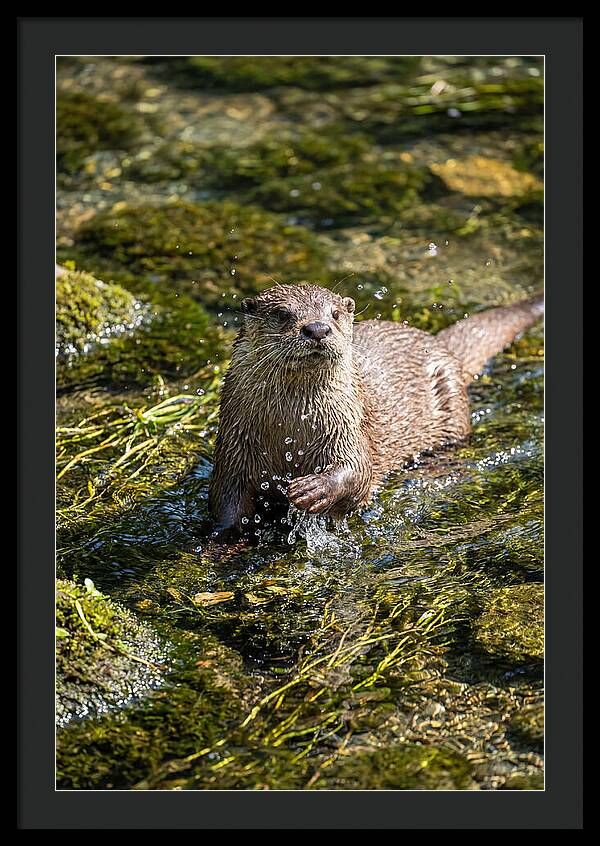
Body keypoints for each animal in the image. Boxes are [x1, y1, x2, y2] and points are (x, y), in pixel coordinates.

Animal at [209, 284, 543, 537]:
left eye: (335, 314)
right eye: (282, 314)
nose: (317, 329)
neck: (291, 430)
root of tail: (439, 344)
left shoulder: (348, 427)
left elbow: (358, 471)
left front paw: (313, 489)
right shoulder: (234, 447)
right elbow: (226, 502)